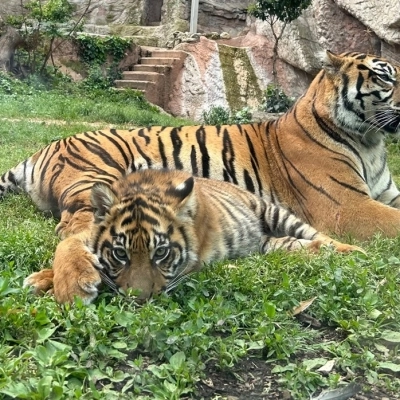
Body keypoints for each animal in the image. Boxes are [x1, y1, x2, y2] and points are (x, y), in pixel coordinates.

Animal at [25, 169, 360, 304]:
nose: (140, 300)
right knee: (295, 244)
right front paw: (51, 281)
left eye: (161, 253)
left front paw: (66, 291)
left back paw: (353, 251)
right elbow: (67, 244)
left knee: (316, 234)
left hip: (273, 211)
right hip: (271, 243)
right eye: (120, 254)